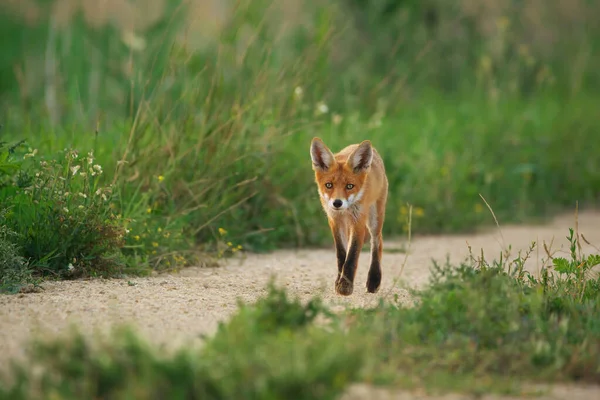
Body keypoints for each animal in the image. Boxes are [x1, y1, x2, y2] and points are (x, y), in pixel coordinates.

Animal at [310, 139, 390, 296]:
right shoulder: (334, 220)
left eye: (349, 186)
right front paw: (340, 282)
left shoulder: (358, 220)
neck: (344, 211)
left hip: (374, 218)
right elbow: (342, 254)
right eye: (329, 185)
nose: (337, 203)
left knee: (377, 242)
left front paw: (345, 286)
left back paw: (374, 279)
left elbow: (352, 256)